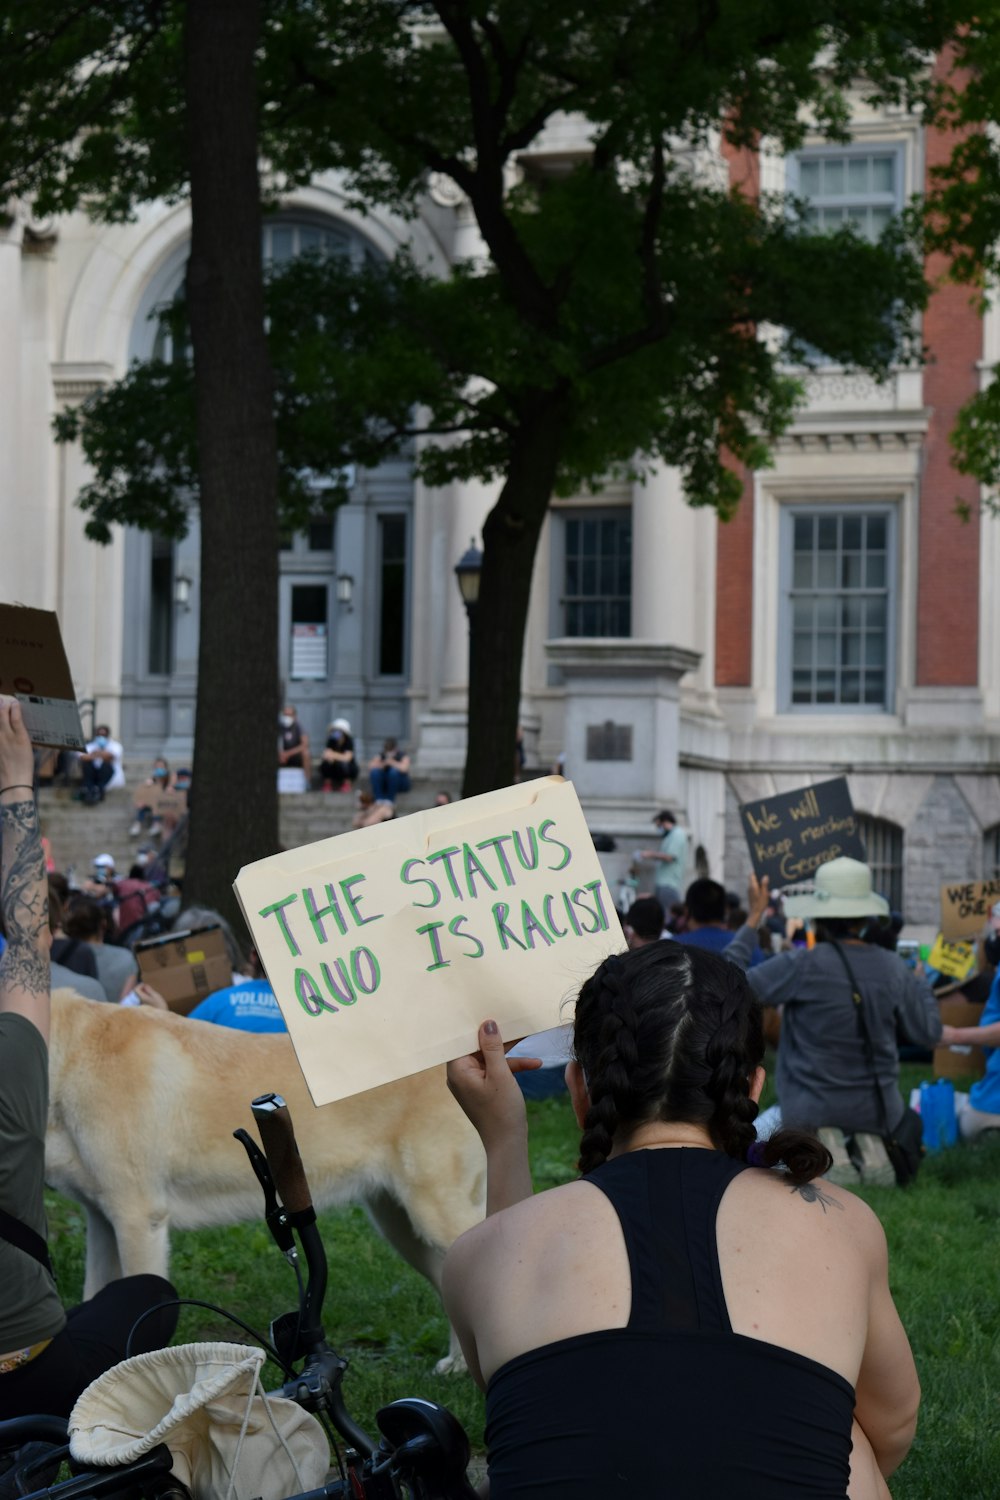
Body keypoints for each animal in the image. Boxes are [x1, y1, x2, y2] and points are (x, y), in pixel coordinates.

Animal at [45, 996, 485, 1374]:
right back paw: (459, 1366)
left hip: (433, 1214)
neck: (66, 1056)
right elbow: (93, 1294)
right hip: (400, 1226)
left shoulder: (137, 1221)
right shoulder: (102, 1223)